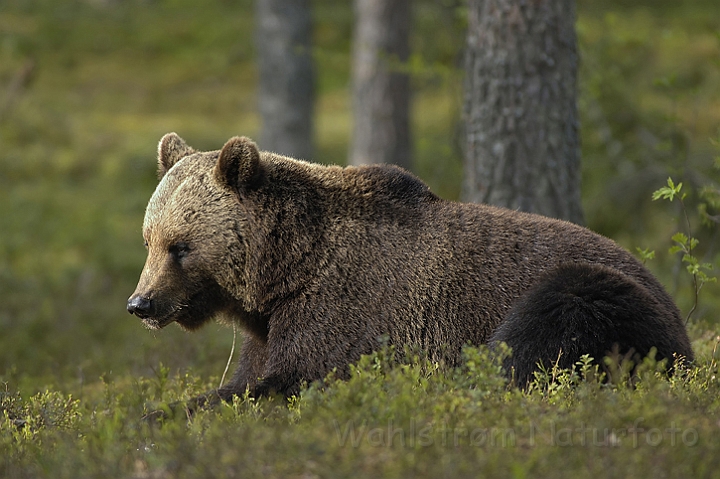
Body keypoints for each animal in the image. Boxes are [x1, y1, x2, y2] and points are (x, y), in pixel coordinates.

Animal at [126, 133, 696, 400]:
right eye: (149, 240)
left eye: (181, 246)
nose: (140, 303)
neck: (286, 273)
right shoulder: (269, 327)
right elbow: (251, 376)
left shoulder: (345, 308)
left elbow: (293, 379)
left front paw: (163, 412)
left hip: (597, 293)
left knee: (543, 331)